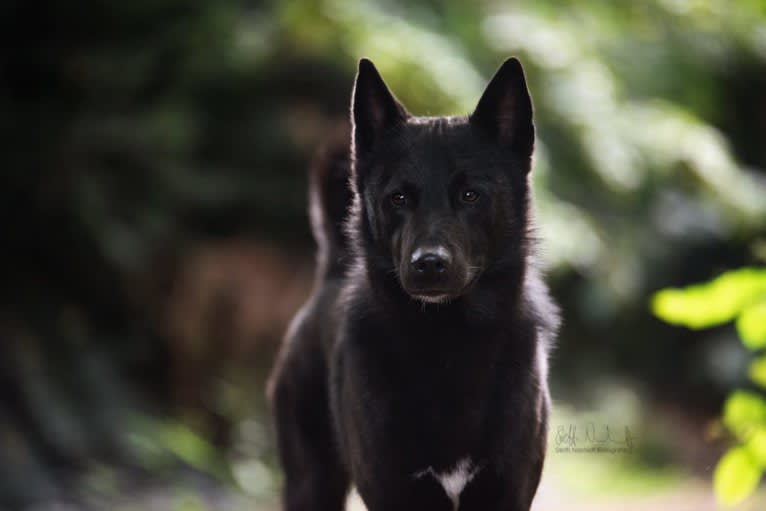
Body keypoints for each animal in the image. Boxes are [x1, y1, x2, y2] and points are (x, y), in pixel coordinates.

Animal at [268, 57, 560, 511]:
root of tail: (329, 276)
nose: (429, 265)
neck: (448, 343)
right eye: (399, 198)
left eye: (470, 195)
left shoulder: (506, 492)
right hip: (310, 484)